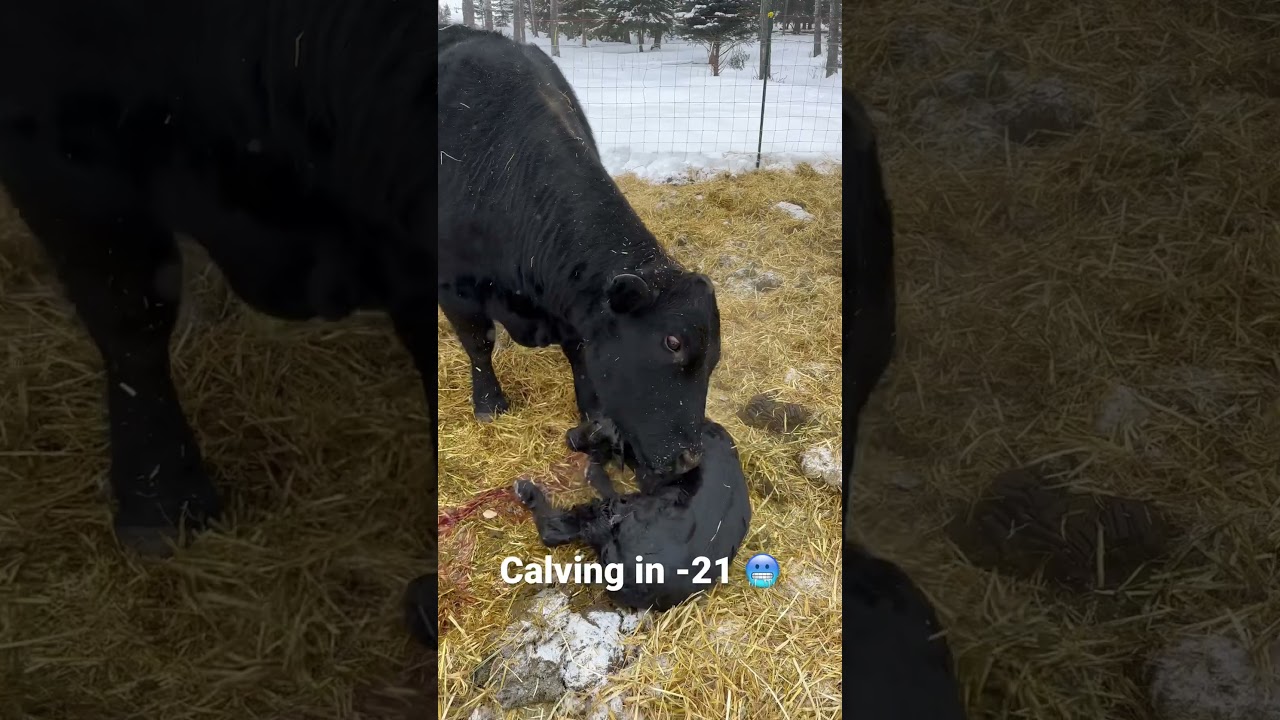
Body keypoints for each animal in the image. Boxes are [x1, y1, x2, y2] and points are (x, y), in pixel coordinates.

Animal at [437, 27, 722, 483]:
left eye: (715, 357)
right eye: (672, 342)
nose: (689, 459)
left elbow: (583, 359)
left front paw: (592, 414)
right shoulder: (454, 285)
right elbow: (479, 344)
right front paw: (489, 404)